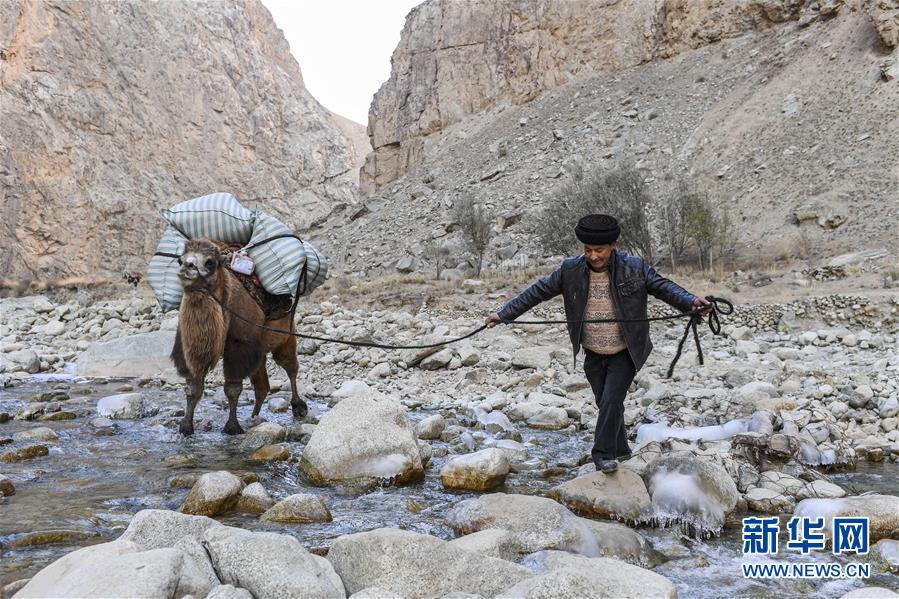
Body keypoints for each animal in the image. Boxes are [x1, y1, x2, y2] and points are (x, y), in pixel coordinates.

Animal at [170, 238, 310, 436]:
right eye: (180, 260)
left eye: (210, 262)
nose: (187, 267)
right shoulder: (188, 347)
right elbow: (193, 387)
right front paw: (186, 426)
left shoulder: (239, 346)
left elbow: (233, 388)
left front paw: (232, 427)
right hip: (261, 350)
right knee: (262, 383)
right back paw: (254, 415)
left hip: (286, 337)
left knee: (290, 368)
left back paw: (298, 407)